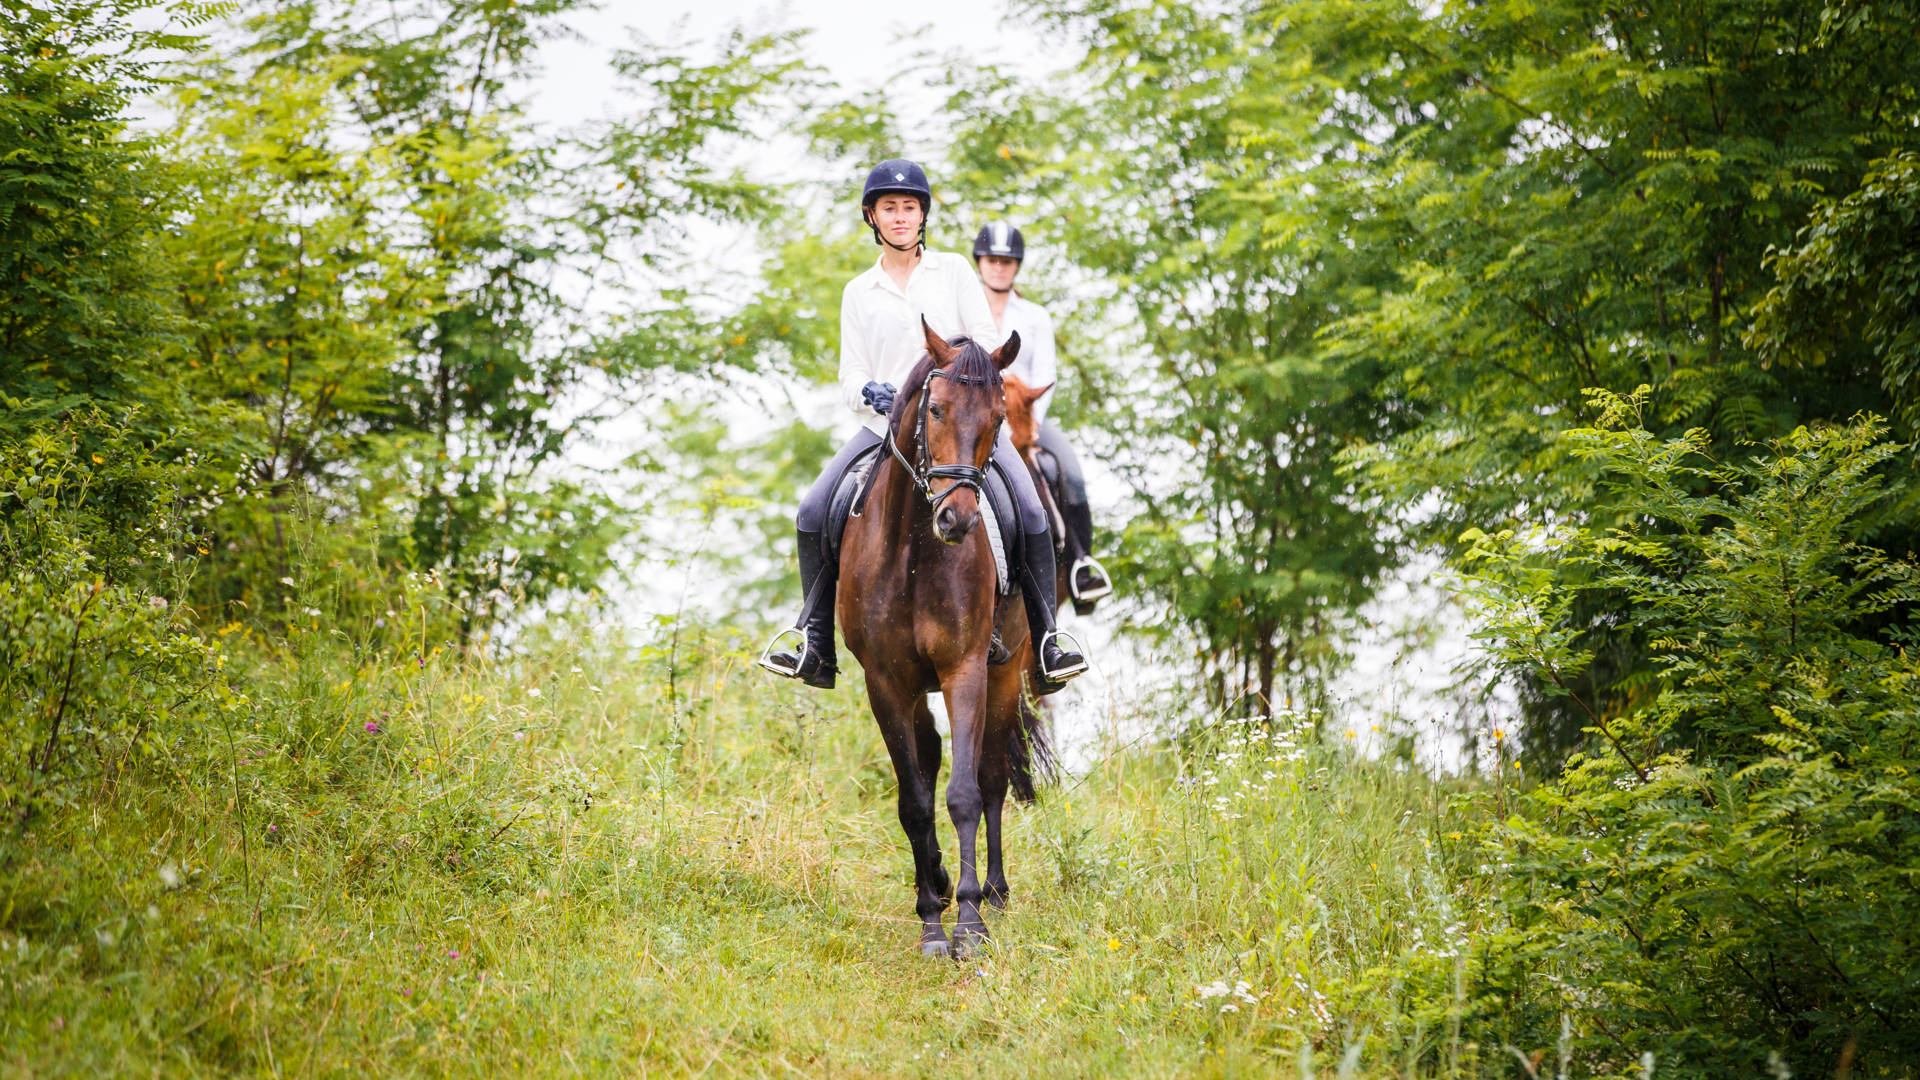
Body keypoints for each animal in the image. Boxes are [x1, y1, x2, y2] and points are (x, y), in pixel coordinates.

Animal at [838, 319, 1053, 958]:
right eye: (934, 409)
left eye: (997, 418)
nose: (956, 520)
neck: (913, 550)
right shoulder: (885, 682)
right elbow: (914, 800)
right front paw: (932, 919)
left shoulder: (965, 669)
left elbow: (964, 795)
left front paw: (970, 922)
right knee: (929, 761)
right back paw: (930, 880)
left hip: (1005, 672)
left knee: (991, 777)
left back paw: (996, 892)